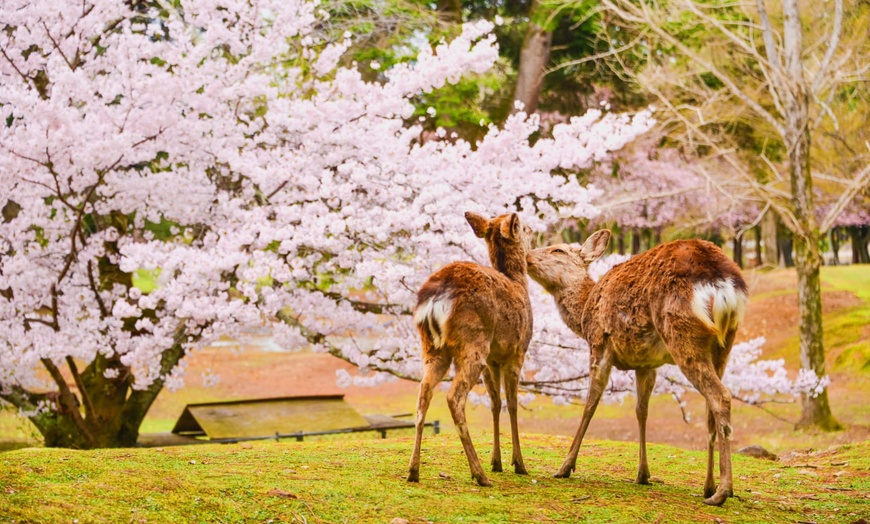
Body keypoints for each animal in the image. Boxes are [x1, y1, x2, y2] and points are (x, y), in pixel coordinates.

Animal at [410, 210, 540, 488]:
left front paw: (497, 461)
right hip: (473, 343)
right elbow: (512, 403)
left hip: (432, 348)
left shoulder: (493, 360)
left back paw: (413, 471)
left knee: (423, 394)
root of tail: (436, 298)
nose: (534, 233)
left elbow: (495, 402)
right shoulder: (517, 352)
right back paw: (479, 474)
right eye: (524, 227)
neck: (519, 284)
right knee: (453, 397)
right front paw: (518, 464)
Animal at [524, 230, 748, 508]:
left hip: (681, 331)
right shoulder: (646, 363)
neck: (585, 313)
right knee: (710, 409)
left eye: (558, 250)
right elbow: (641, 411)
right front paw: (642, 473)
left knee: (720, 396)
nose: (526, 255)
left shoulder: (600, 342)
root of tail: (723, 284)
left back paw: (723, 491)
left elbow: (591, 404)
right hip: (725, 343)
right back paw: (709, 486)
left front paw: (565, 467)